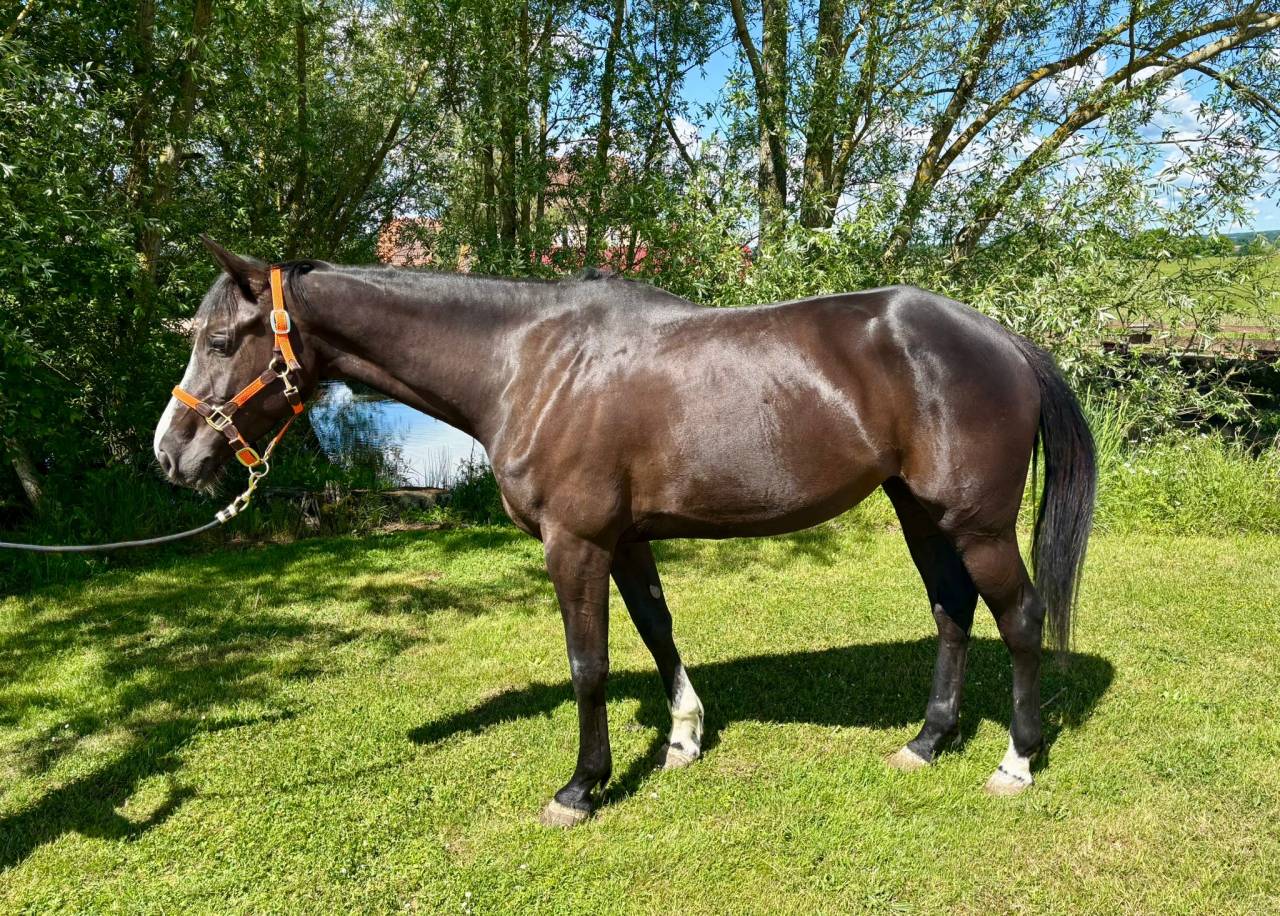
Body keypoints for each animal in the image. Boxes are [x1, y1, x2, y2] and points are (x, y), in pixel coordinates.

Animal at [154, 237, 1096, 827]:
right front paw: (682, 738)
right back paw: (928, 741)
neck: (528, 361)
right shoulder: (627, 538)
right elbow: (656, 628)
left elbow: (590, 664)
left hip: (975, 522)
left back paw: (1015, 761)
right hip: (917, 512)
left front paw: (582, 787)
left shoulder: (574, 543)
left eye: (222, 339)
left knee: (1018, 618)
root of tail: (1004, 339)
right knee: (950, 611)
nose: (171, 453)